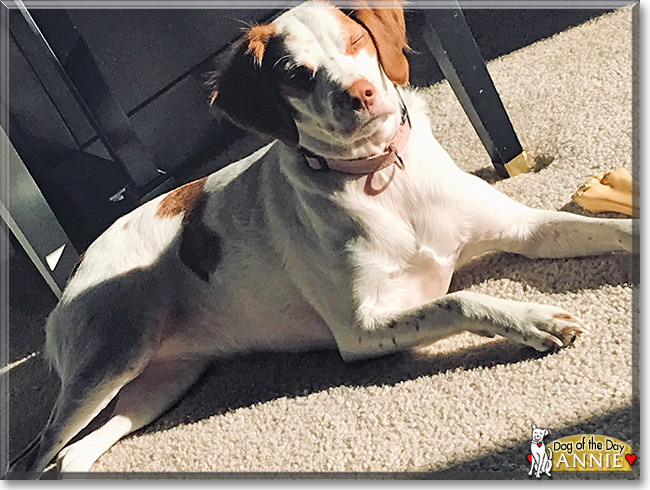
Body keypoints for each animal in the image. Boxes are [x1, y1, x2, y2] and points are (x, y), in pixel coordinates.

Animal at [6, 0, 632, 476]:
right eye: (294, 73)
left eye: (356, 40)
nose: (360, 93)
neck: (381, 179)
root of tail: (76, 270)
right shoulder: (361, 331)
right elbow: (461, 298)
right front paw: (534, 319)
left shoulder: (522, 225)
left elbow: (603, 229)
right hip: (110, 360)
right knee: (35, 457)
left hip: (161, 380)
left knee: (71, 455)